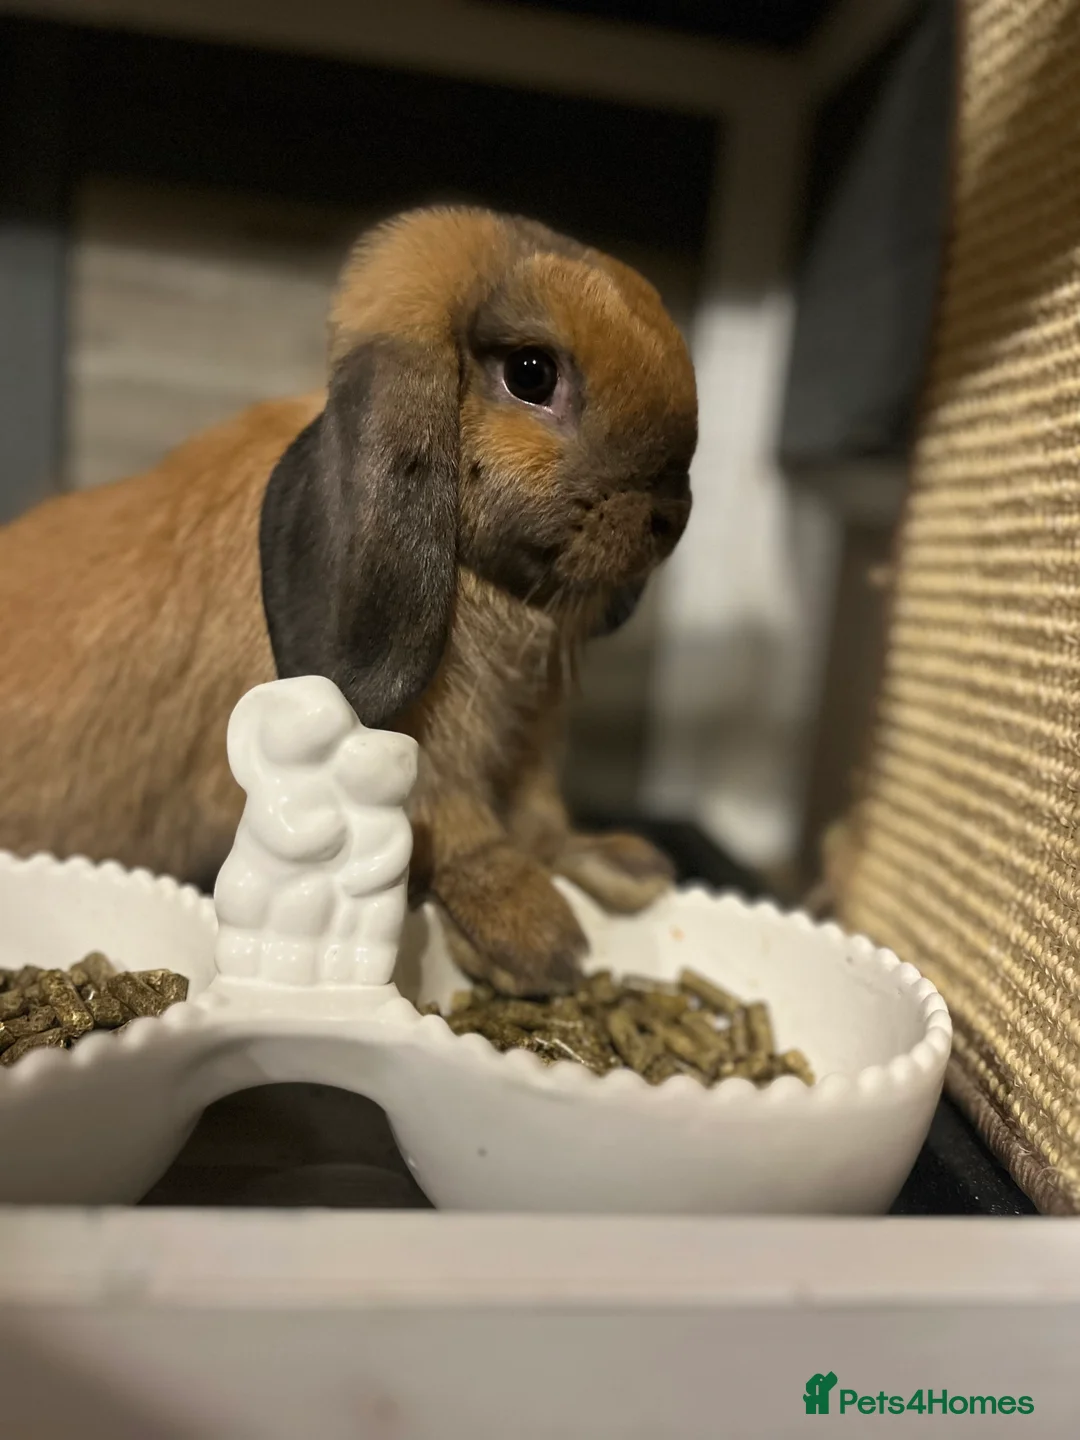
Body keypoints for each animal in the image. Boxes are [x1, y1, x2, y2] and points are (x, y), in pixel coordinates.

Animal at [0, 205, 697, 996]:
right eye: (531, 374)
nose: (671, 514)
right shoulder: (429, 758)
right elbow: (463, 832)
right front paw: (538, 940)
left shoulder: (529, 741)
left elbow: (541, 820)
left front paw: (624, 869)